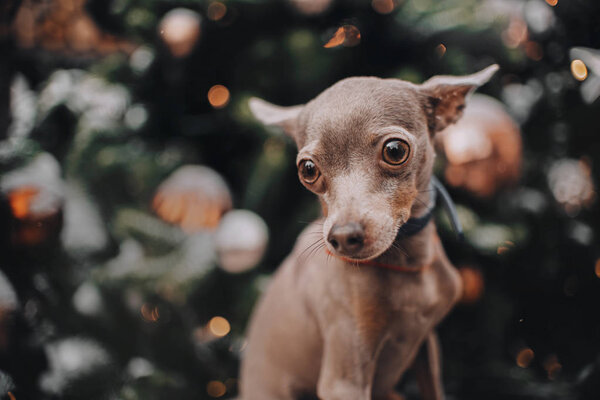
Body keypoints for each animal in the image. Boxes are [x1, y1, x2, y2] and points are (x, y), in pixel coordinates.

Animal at [238, 65, 496, 400]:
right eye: (308, 170)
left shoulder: (427, 345)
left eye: (395, 151)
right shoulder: (343, 380)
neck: (408, 268)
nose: (342, 237)